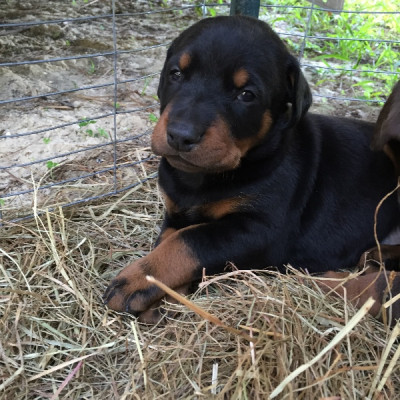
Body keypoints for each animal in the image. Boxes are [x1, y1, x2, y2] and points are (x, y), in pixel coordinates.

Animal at [104, 16, 400, 322]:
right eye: (176, 73)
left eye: (246, 95)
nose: (180, 135)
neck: (200, 179)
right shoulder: (175, 212)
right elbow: (169, 238)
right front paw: (161, 293)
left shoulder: (260, 230)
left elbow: (189, 241)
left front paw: (137, 279)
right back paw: (378, 255)